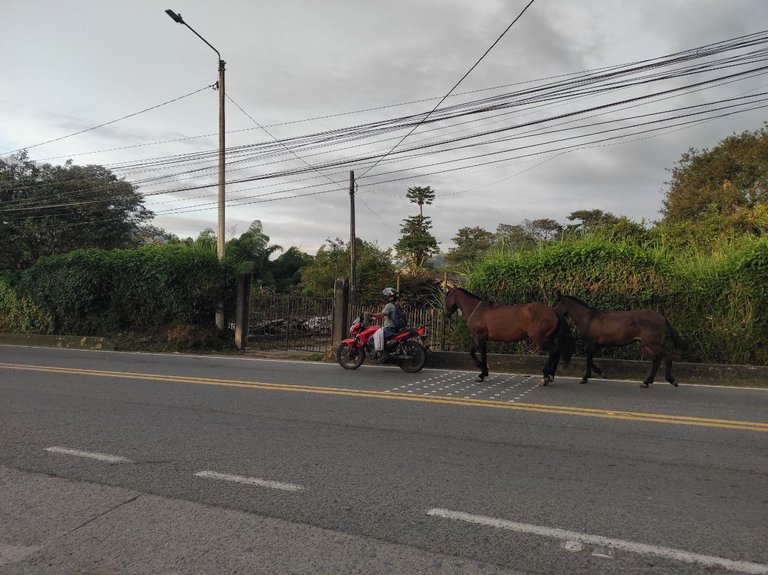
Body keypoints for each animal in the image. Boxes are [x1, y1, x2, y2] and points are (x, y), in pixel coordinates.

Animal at [556, 294, 688, 390]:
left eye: (557, 304)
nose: (555, 313)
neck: (589, 318)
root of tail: (663, 318)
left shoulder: (591, 342)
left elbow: (588, 359)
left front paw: (586, 378)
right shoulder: (595, 344)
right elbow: (590, 359)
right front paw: (601, 374)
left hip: (651, 343)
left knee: (667, 357)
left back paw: (672, 380)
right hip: (647, 344)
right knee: (656, 361)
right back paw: (646, 382)